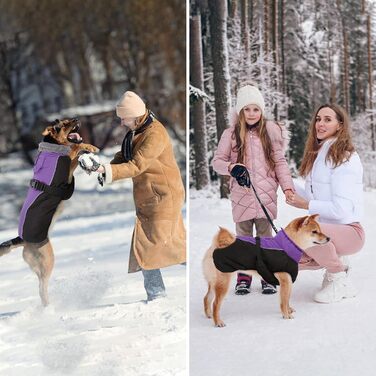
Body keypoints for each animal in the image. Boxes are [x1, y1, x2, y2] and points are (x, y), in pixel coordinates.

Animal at [0, 119, 99, 306]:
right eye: (64, 124)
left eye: (68, 119)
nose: (77, 118)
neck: (53, 147)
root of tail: (22, 239)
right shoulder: (67, 166)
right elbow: (76, 148)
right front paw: (90, 147)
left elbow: (76, 149)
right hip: (47, 259)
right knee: (42, 286)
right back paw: (48, 306)